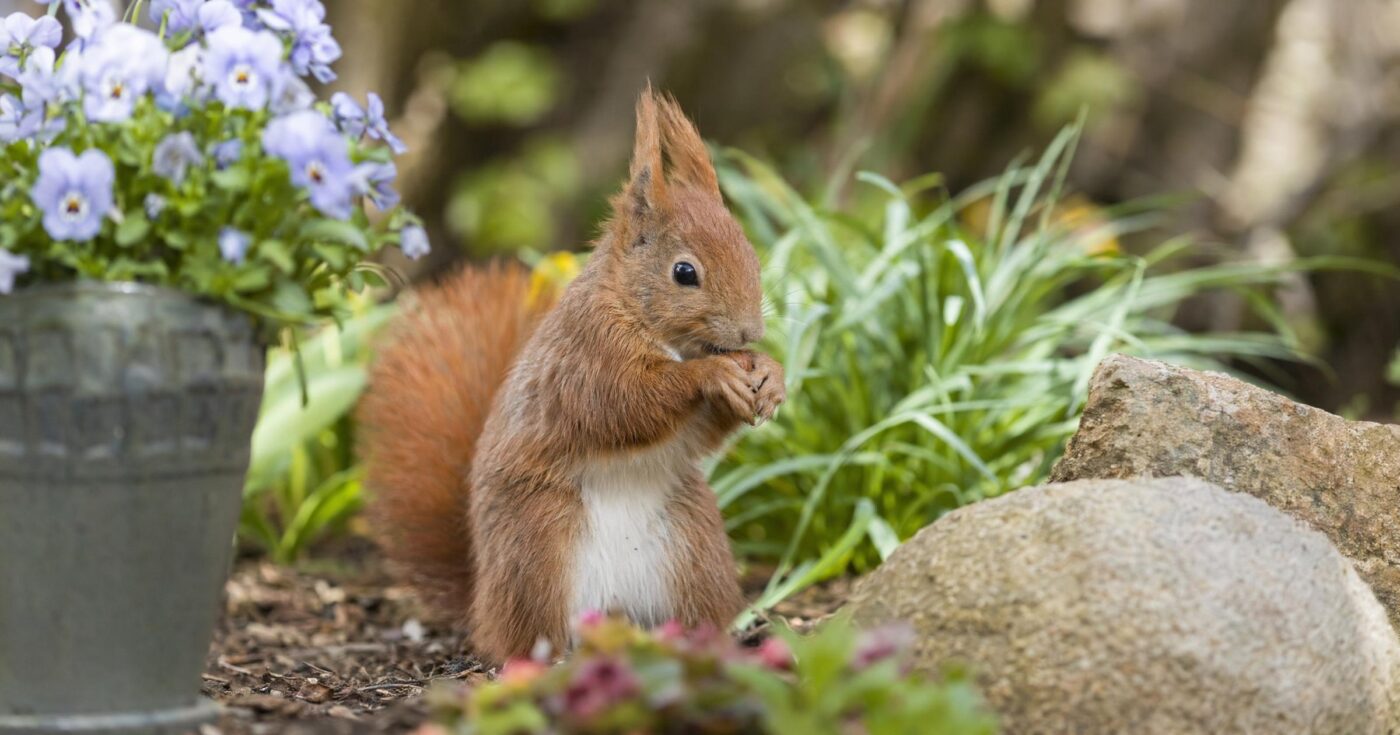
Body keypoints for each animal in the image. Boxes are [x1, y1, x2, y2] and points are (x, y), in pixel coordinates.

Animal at [358, 89, 786, 664]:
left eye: (751, 254)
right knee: (528, 635)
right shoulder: (586, 359)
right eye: (684, 272)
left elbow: (699, 432)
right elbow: (624, 404)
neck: (642, 318)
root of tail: (482, 606)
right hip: (541, 544)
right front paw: (714, 373)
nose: (749, 332)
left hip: (694, 546)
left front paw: (771, 376)